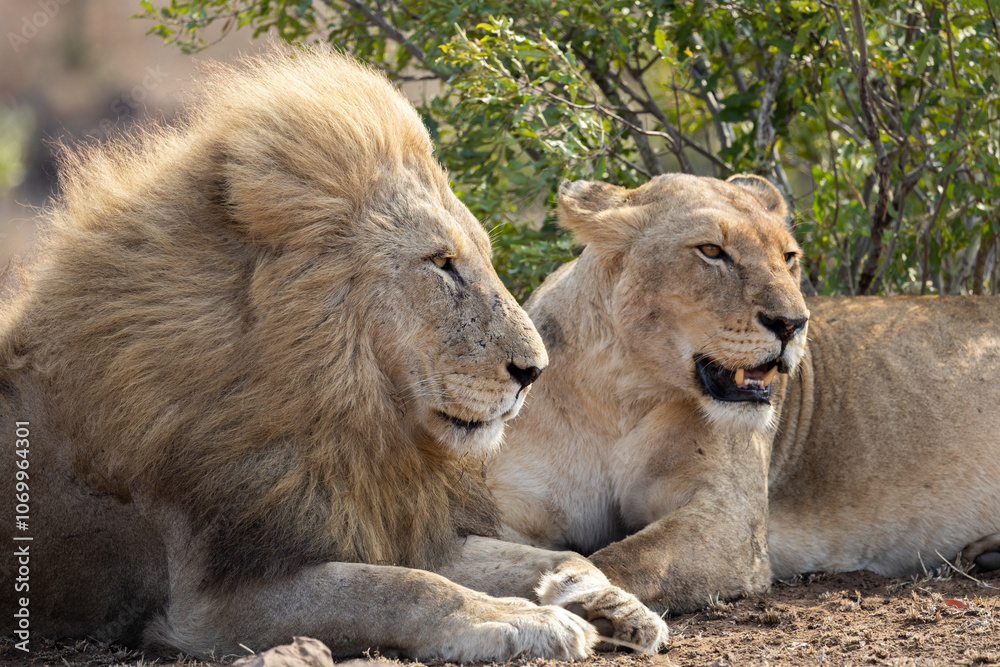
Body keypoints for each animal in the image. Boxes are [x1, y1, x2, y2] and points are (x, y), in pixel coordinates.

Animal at [0, 50, 667, 660]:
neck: (346, 414)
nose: (534, 373)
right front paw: (517, 620)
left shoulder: (370, 515)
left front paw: (605, 601)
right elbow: (400, 587)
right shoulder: (208, 605)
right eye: (442, 263)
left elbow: (542, 554)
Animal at [489, 173, 1000, 613]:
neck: (621, 393)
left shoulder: (731, 524)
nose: (793, 323)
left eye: (789, 257)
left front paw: (574, 592)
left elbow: (623, 558)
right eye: (712, 251)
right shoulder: (512, 509)